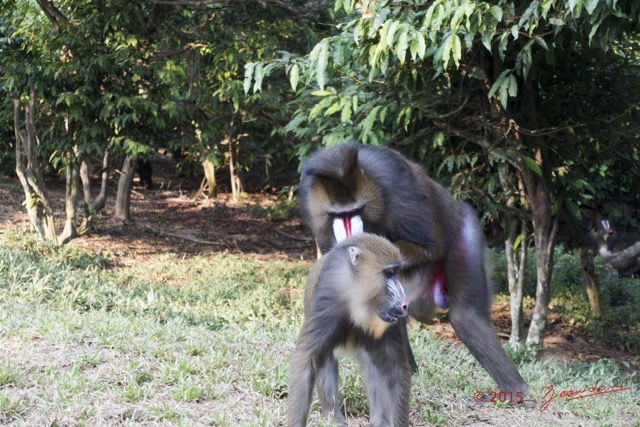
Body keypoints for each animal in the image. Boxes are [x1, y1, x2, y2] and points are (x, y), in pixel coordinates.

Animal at [288, 234, 412, 427]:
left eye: (396, 273)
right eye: (389, 273)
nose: (405, 304)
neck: (356, 301)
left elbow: (395, 368)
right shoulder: (328, 299)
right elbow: (307, 358)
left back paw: (379, 420)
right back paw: (334, 417)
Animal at [300, 141, 528, 398]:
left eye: (355, 211)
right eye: (337, 215)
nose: (350, 236)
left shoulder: (398, 183)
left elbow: (431, 245)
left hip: (464, 230)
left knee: (466, 316)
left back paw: (515, 390)